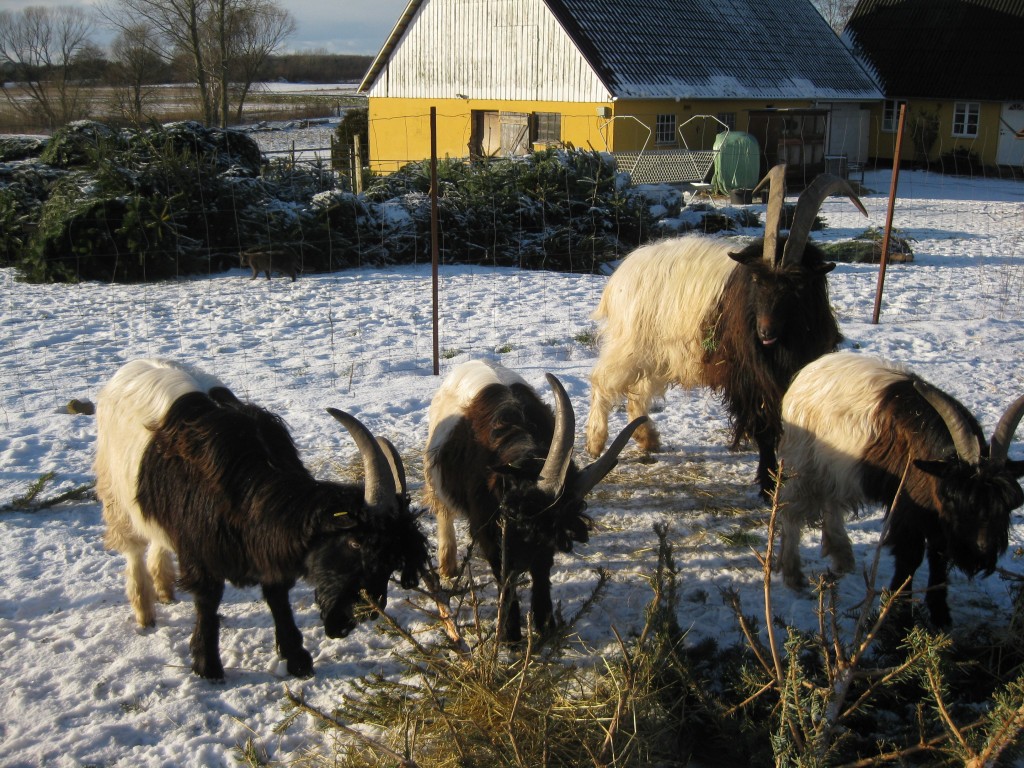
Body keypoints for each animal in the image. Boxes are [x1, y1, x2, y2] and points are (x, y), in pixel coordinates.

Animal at [94, 358, 430, 684]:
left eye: (392, 561)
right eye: (355, 542)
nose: (355, 616)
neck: (246, 487)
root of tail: (128, 369)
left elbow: (277, 596)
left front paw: (297, 659)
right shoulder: (199, 550)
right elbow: (208, 600)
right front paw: (208, 665)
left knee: (158, 542)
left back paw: (164, 589)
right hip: (115, 495)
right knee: (134, 549)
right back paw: (145, 611)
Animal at [425, 360, 647, 643]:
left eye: (546, 531)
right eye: (514, 515)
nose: (520, 564)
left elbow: (541, 573)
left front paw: (544, 625)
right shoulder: (488, 532)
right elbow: (502, 576)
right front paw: (509, 634)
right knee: (443, 512)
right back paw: (448, 564)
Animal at [585, 164, 864, 495]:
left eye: (797, 285)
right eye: (757, 280)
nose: (765, 332)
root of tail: (624, 271)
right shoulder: (749, 377)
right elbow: (764, 428)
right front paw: (767, 484)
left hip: (659, 354)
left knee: (638, 391)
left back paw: (647, 439)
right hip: (631, 344)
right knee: (602, 381)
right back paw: (595, 442)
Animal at [774, 354, 1024, 626]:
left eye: (1007, 505)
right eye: (955, 500)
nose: (981, 550)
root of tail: (808, 371)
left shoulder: (937, 518)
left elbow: (938, 557)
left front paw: (940, 614)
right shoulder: (909, 508)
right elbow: (910, 556)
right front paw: (898, 612)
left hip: (835, 470)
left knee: (831, 504)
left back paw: (842, 556)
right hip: (805, 464)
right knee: (790, 513)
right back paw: (793, 574)